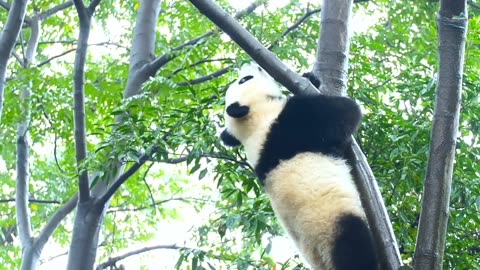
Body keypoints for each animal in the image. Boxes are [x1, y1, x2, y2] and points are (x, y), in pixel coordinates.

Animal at [220, 63, 378, 270]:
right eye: (244, 80)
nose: (249, 64)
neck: (251, 124)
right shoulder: (286, 126)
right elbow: (341, 113)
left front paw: (310, 78)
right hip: (333, 224)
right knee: (354, 249)